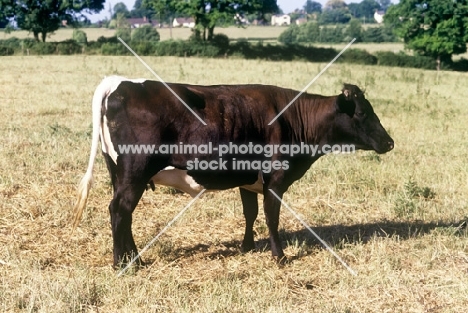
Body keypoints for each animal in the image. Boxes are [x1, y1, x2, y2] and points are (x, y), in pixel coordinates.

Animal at [72, 75, 394, 266]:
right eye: (362, 113)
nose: (389, 142)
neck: (292, 117)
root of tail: (120, 82)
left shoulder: (248, 181)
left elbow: (250, 213)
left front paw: (247, 246)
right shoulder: (275, 181)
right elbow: (272, 218)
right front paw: (279, 256)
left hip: (119, 174)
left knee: (124, 214)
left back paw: (134, 257)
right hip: (134, 173)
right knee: (119, 210)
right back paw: (123, 262)